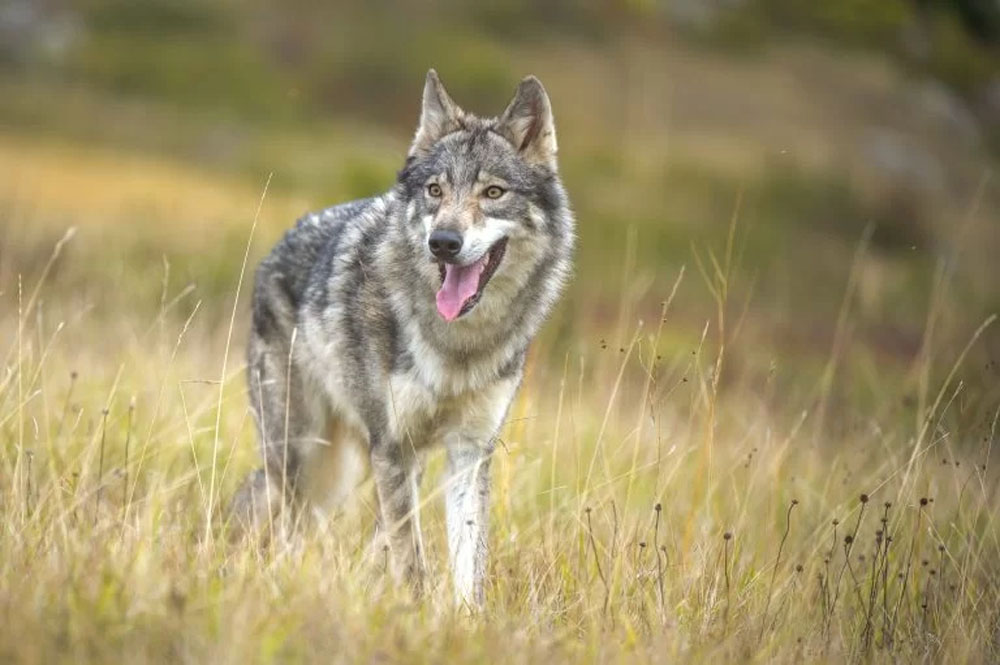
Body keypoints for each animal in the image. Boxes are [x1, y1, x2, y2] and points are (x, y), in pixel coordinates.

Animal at [231, 70, 576, 604]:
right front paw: (412, 612)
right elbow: (412, 562)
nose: (444, 243)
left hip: (360, 466)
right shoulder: (392, 446)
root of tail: (276, 246)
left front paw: (465, 619)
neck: (457, 345)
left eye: (493, 193)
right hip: (304, 458)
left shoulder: (468, 452)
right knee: (278, 518)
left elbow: (466, 564)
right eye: (435, 190)